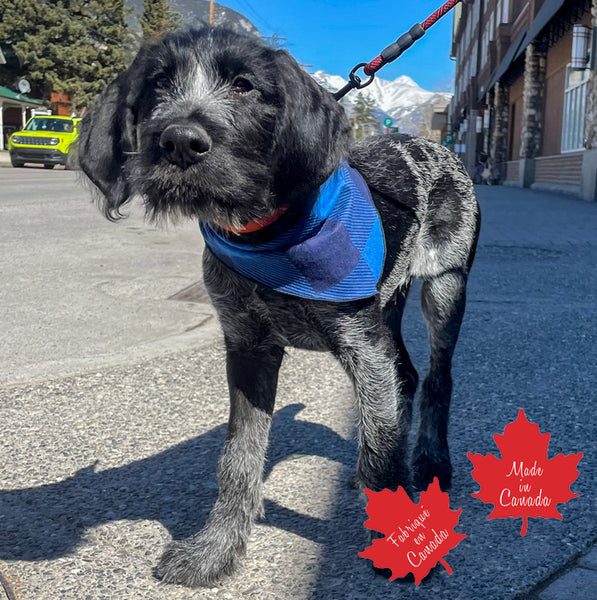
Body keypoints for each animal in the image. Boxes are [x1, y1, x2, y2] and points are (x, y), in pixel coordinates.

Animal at [78, 27, 480, 584]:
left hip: (444, 287)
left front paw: (401, 540)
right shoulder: (250, 349)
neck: (268, 234)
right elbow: (239, 459)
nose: (179, 141)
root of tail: (429, 143)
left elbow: (380, 453)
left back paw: (430, 464)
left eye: (245, 85)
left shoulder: (362, 344)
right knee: (406, 376)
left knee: (438, 379)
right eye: (158, 84)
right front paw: (216, 549)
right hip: (389, 305)